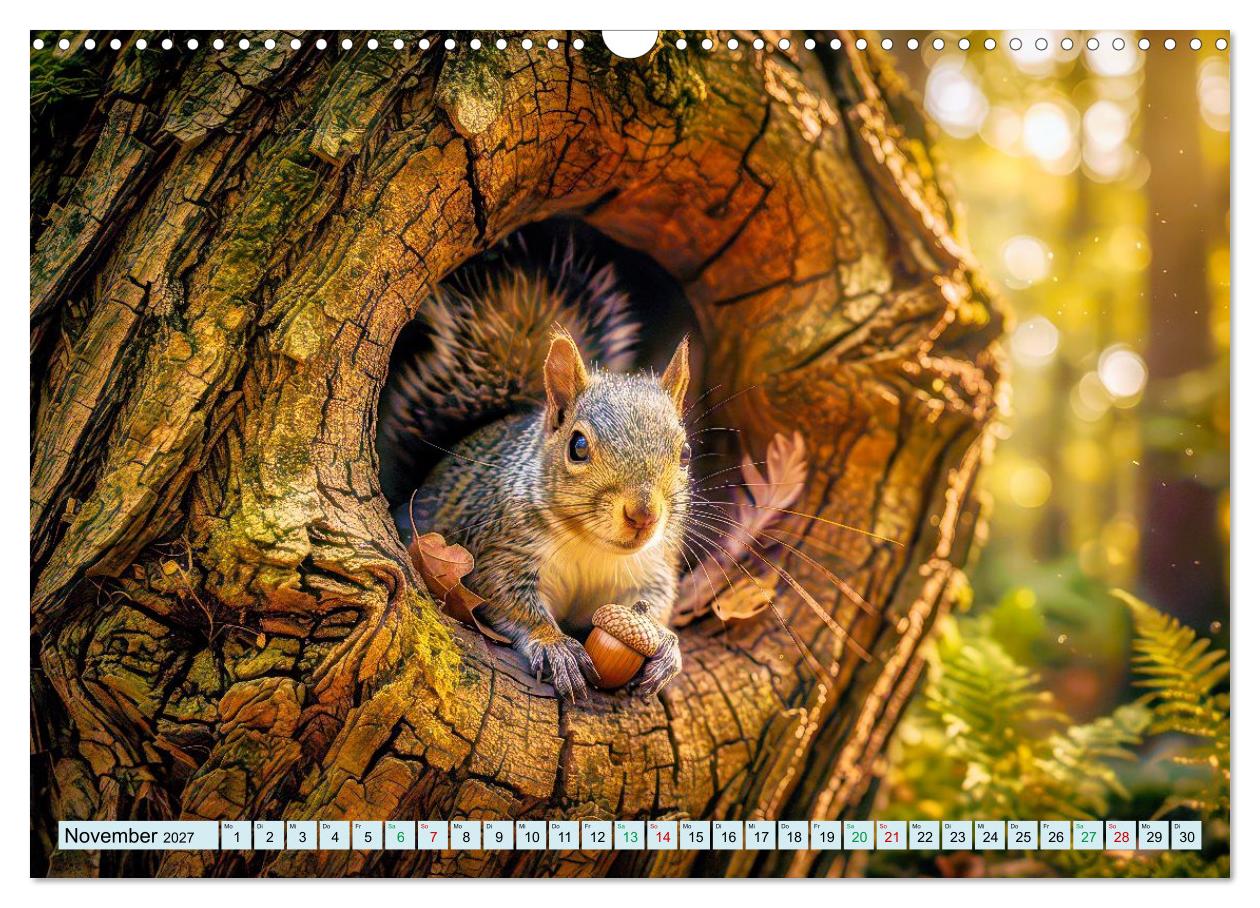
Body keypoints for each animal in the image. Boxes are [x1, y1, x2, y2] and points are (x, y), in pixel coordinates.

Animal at [379, 242, 689, 701]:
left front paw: (667, 647)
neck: (592, 547)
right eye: (578, 446)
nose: (643, 515)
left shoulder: (651, 566)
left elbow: (657, 600)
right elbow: (508, 598)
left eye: (685, 452)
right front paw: (555, 644)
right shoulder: (497, 548)